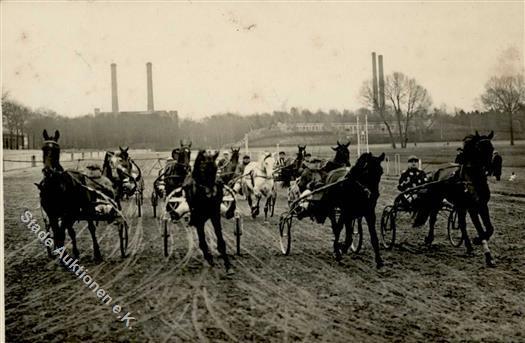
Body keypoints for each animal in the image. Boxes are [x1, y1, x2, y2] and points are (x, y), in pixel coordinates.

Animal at [36, 130, 118, 262]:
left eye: (57, 150)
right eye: (43, 148)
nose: (47, 171)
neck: (55, 187)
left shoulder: (66, 214)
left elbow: (61, 233)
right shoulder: (52, 214)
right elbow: (58, 233)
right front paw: (60, 254)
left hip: (84, 208)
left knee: (90, 228)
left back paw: (97, 253)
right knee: (71, 231)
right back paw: (75, 252)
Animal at [414, 130, 496, 268]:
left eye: (491, 148)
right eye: (479, 148)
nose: (489, 168)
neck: (473, 180)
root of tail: (437, 171)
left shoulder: (482, 205)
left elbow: (489, 229)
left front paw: (480, 244)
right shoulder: (472, 208)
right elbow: (480, 229)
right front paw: (487, 254)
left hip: (460, 206)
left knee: (462, 224)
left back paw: (469, 247)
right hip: (437, 202)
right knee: (433, 219)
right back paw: (429, 239)